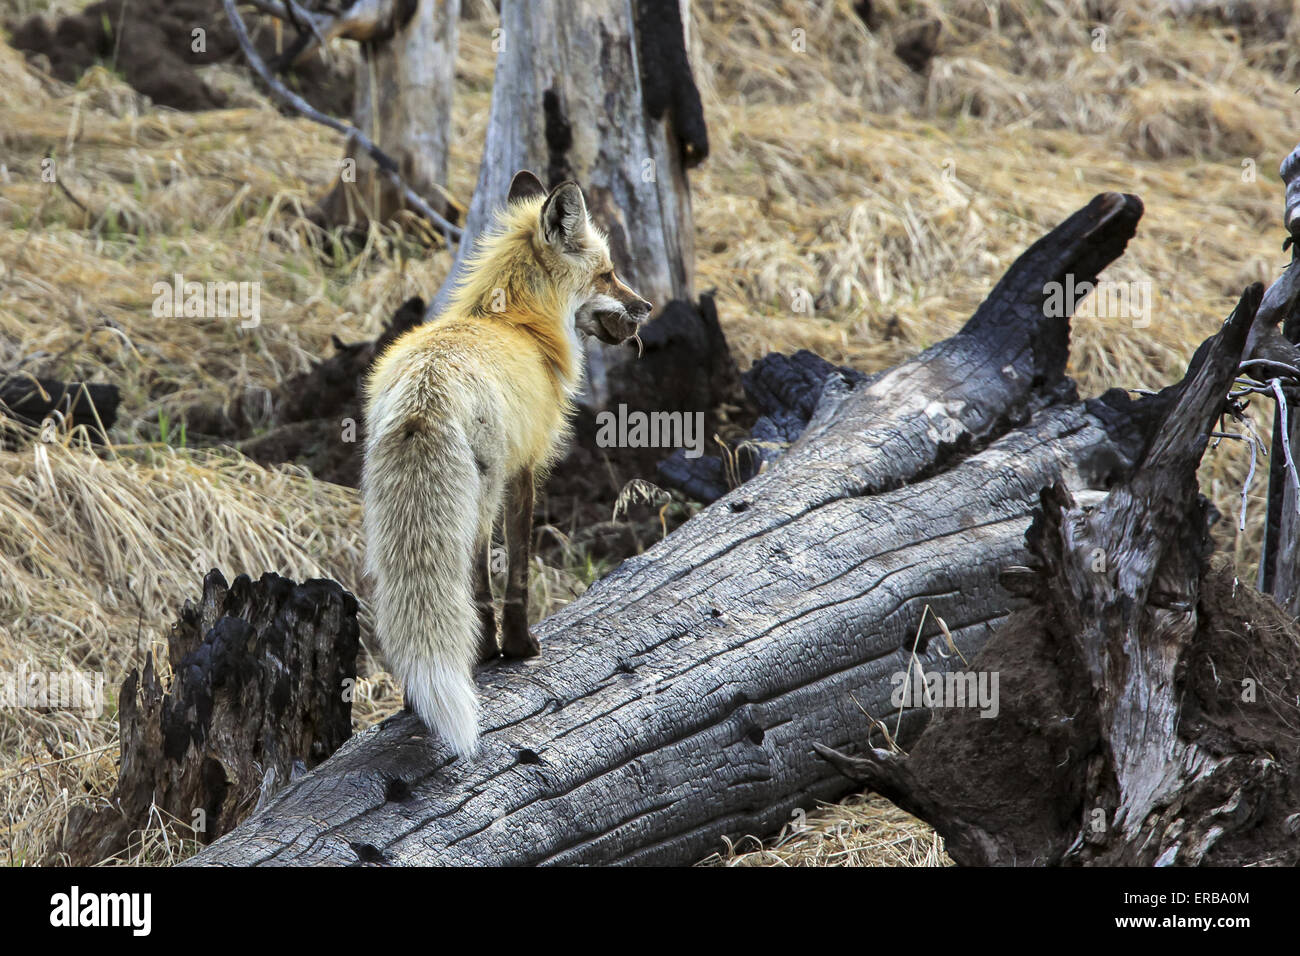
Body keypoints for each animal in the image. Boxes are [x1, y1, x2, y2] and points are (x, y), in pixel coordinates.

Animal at [362, 171, 652, 757]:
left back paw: (414, 697)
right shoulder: (527, 468)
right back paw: (479, 656)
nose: (648, 307)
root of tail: (424, 393)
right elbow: (517, 564)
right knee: (469, 578)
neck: (518, 325)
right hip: (479, 495)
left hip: (385, 520)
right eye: (608, 274)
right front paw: (518, 647)